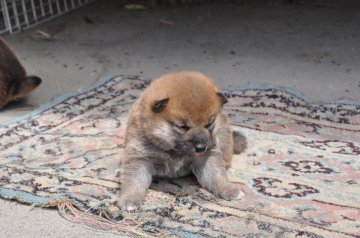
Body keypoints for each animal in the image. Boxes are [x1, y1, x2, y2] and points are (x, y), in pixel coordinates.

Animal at [119, 71, 246, 212]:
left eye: (209, 124)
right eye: (183, 127)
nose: (201, 148)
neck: (173, 150)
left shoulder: (207, 157)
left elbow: (217, 175)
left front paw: (228, 189)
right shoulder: (139, 157)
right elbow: (134, 180)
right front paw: (130, 199)